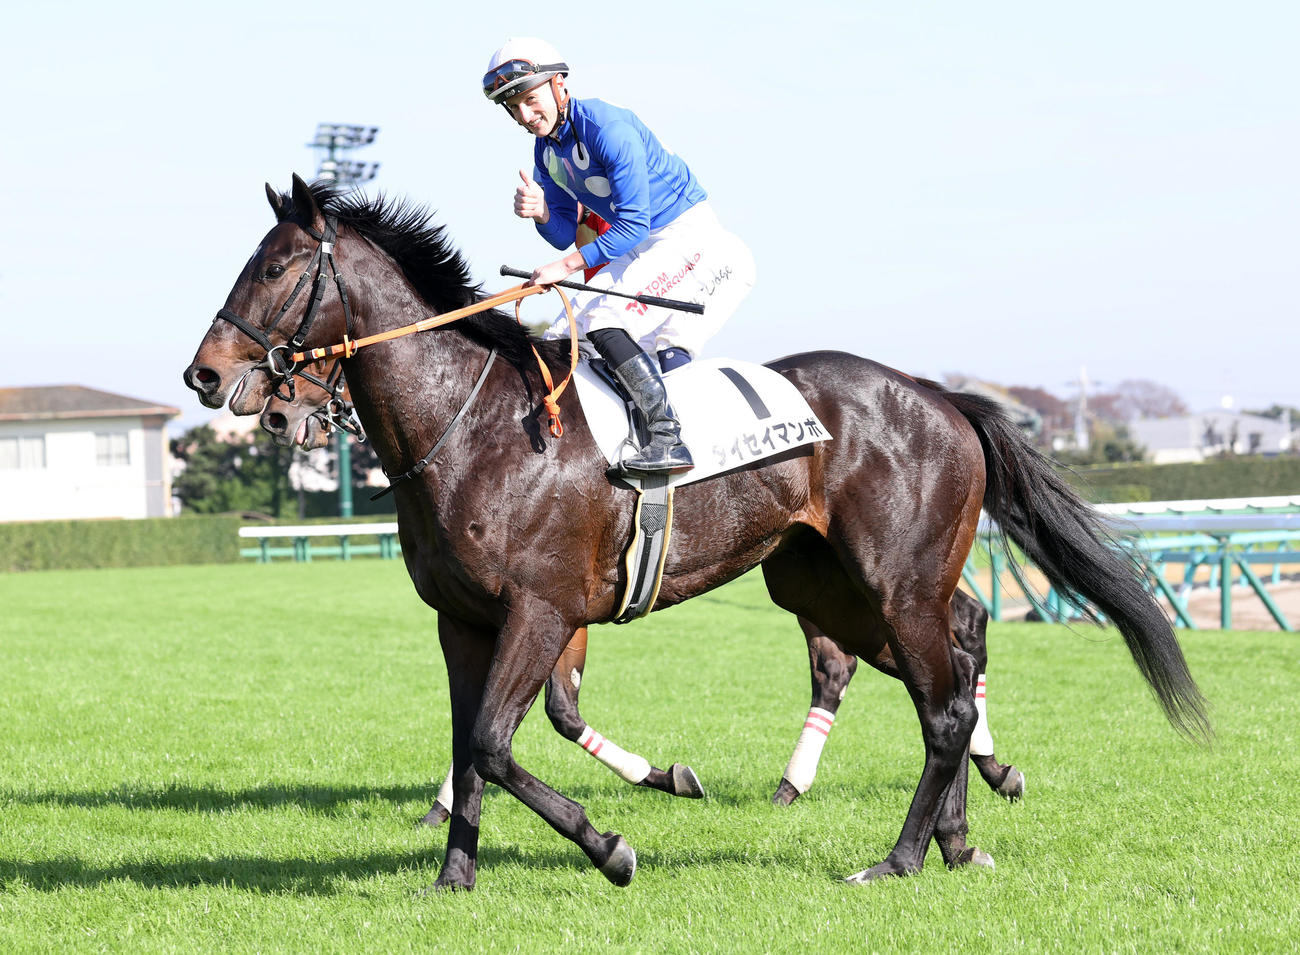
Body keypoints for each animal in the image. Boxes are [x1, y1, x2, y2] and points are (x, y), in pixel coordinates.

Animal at [261, 363, 1025, 814]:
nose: (268, 407)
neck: (482, 433)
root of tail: (938, 394)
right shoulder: (549, 609)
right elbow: (555, 711)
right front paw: (663, 774)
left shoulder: (544, 603)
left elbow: (520, 718)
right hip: (819, 579)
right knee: (932, 649)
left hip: (883, 580)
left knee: (915, 655)